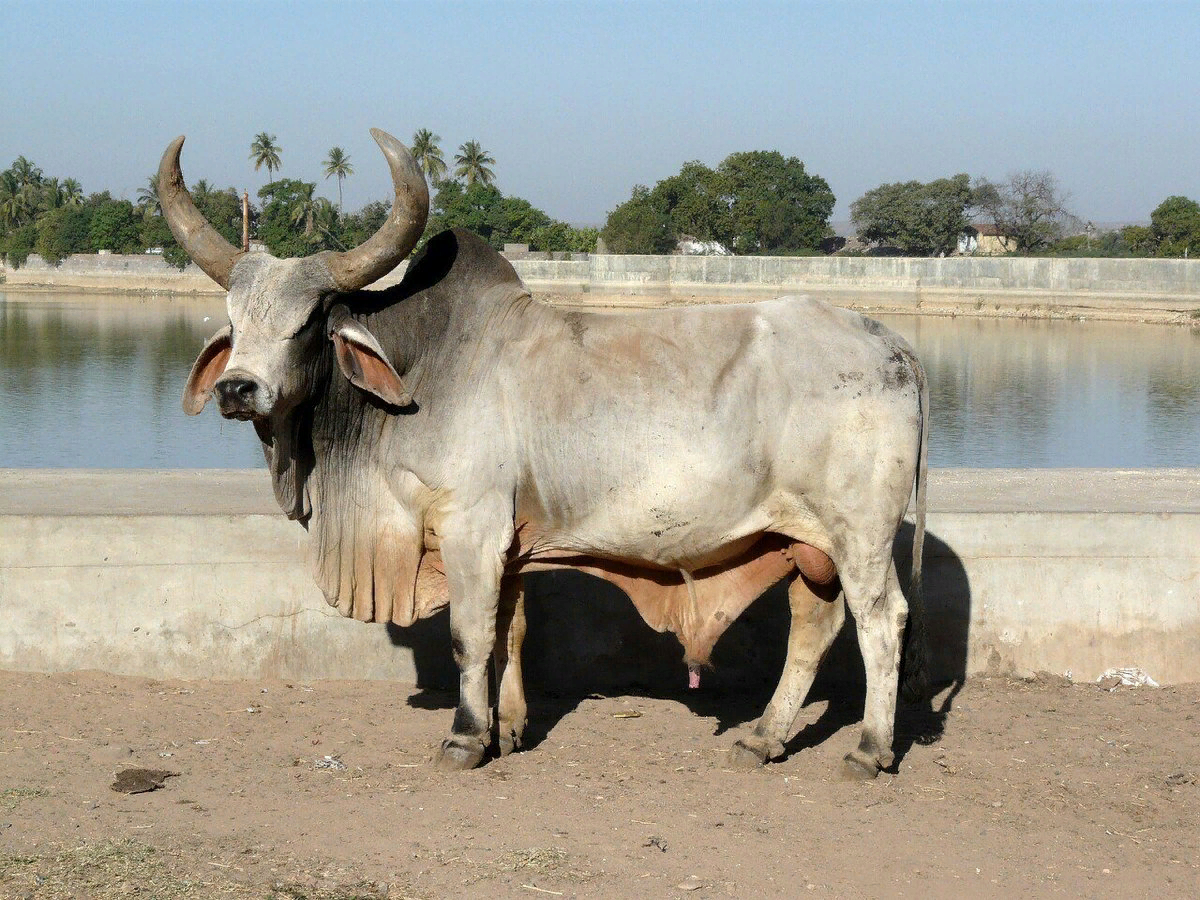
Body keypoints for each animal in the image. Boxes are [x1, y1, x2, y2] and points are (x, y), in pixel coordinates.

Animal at [162, 128, 926, 782]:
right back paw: (763, 738)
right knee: (816, 627)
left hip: (860, 533)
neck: (423, 369)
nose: (237, 388)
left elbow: (470, 635)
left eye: (310, 322)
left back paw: (869, 750)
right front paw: (508, 729)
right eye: (233, 323)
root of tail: (888, 340)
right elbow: (510, 631)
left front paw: (466, 738)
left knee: (882, 621)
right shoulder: (510, 543)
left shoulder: (471, 527)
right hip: (808, 542)